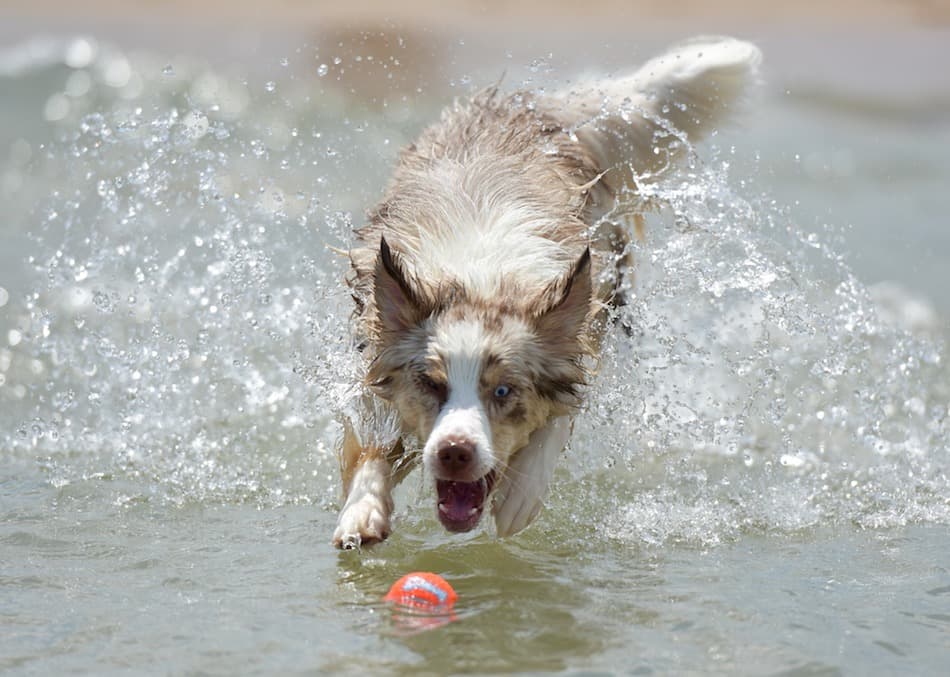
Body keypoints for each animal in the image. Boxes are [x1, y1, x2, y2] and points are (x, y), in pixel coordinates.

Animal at [330, 35, 764, 548]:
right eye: (432, 384)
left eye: (503, 390)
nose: (454, 451)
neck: (480, 282)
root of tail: (537, 107)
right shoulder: (373, 350)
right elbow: (371, 442)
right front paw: (361, 511)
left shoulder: (584, 333)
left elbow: (560, 417)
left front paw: (521, 496)